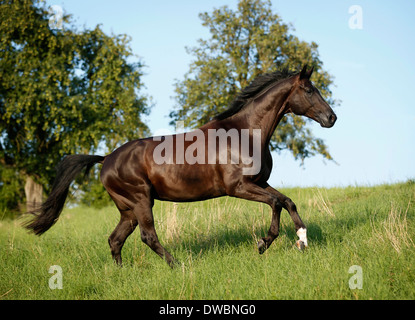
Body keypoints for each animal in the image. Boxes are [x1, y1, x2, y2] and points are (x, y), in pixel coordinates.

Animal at [26, 65, 336, 268]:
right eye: (309, 90)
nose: (331, 118)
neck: (245, 132)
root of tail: (106, 159)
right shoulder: (239, 187)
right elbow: (276, 203)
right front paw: (264, 243)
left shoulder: (259, 182)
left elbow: (287, 201)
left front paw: (302, 240)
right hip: (141, 201)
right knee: (148, 236)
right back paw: (176, 265)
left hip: (127, 209)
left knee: (115, 239)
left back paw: (121, 273)